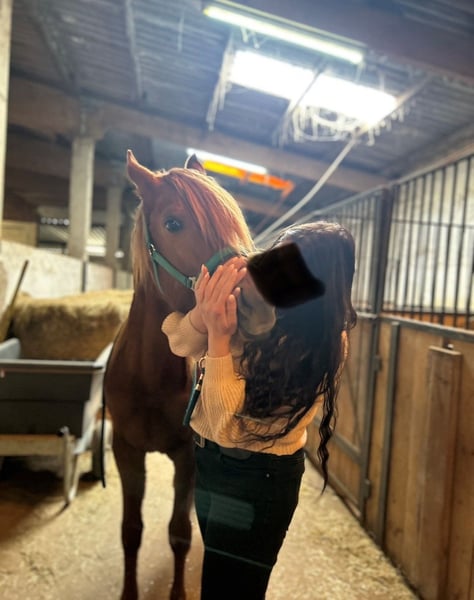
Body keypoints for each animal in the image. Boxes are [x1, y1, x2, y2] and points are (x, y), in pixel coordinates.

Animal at [103, 150, 255, 600]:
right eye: (173, 223)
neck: (149, 377)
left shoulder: (188, 455)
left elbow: (179, 532)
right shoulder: (125, 451)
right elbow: (131, 530)